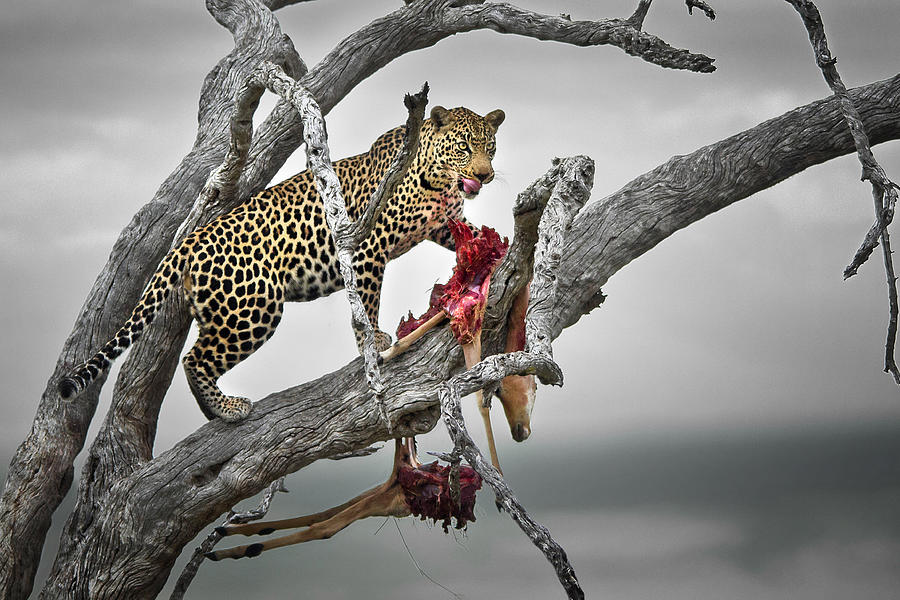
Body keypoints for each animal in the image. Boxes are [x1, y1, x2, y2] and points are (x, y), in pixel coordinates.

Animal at [59, 104, 502, 422]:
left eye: (490, 147)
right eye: (464, 146)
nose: (486, 175)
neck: (439, 182)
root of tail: (190, 240)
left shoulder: (445, 226)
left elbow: (472, 235)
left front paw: (494, 251)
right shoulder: (366, 245)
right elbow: (367, 299)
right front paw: (373, 341)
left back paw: (214, 411)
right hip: (252, 307)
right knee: (194, 358)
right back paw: (228, 410)